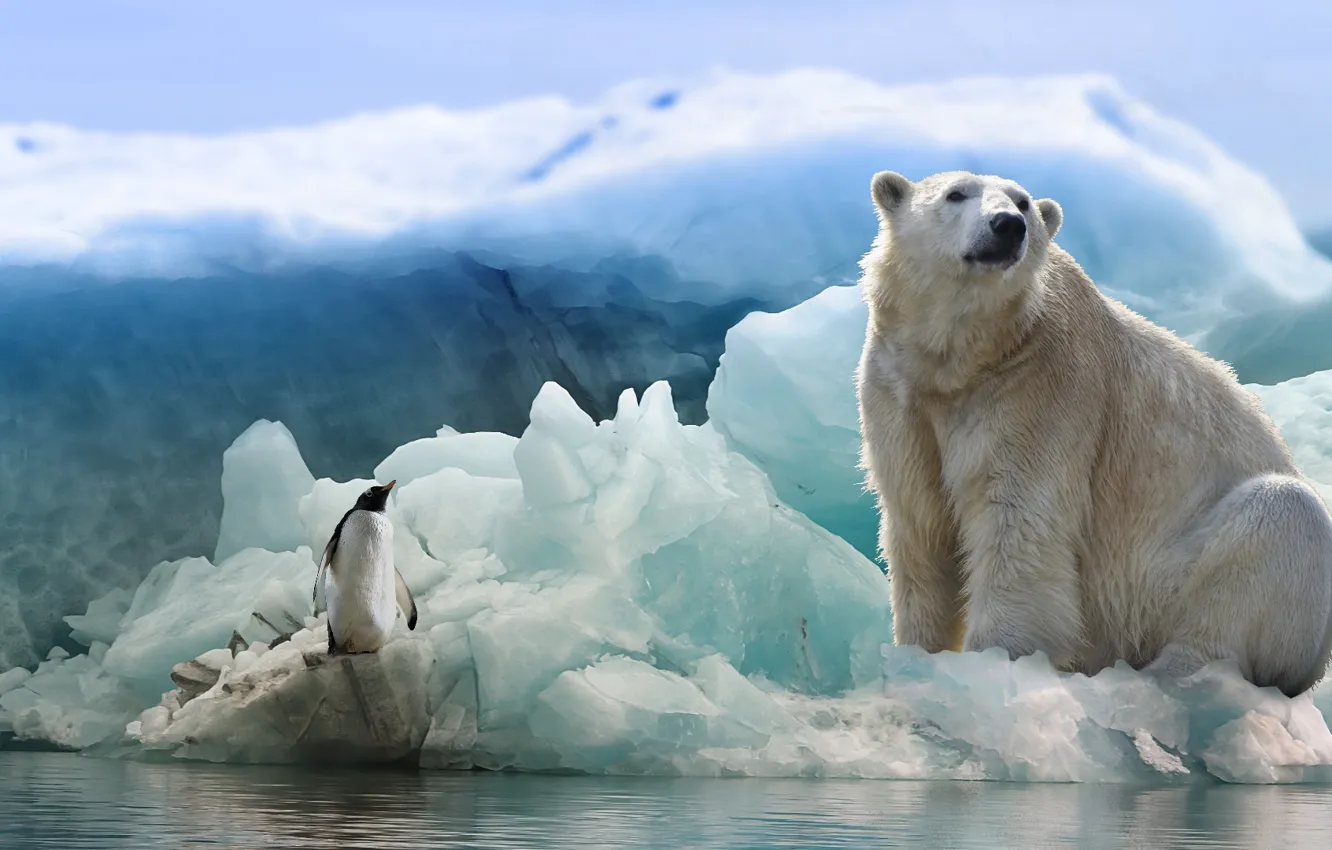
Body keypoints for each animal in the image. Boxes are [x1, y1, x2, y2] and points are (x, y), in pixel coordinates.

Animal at [855, 168, 1332, 697]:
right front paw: (918, 655)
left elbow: (1018, 523)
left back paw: (1175, 673)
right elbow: (921, 524)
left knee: (1279, 521)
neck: (966, 359)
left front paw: (995, 661)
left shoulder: (1040, 387)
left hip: (1171, 582)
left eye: (1023, 203)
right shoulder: (899, 393)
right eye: (955, 194)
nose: (1007, 226)